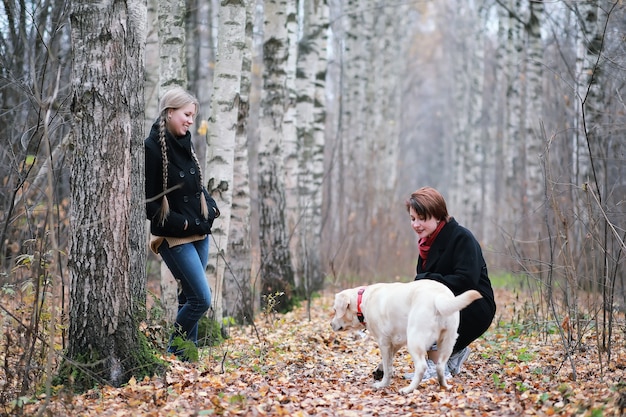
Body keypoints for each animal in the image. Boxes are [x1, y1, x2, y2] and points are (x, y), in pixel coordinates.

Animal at [330, 280, 480, 394]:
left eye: (335, 310)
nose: (331, 324)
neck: (362, 299)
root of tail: (439, 297)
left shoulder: (384, 342)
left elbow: (388, 367)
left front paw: (383, 384)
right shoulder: (396, 343)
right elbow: (387, 361)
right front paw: (379, 370)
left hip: (414, 340)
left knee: (421, 366)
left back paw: (408, 389)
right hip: (447, 341)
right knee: (440, 366)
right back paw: (444, 385)